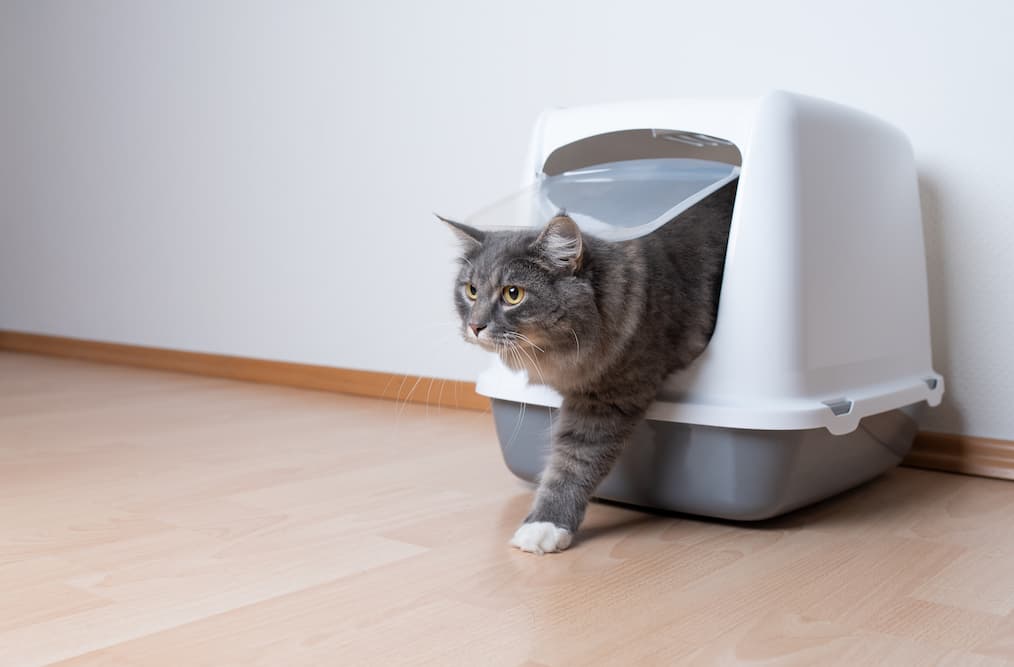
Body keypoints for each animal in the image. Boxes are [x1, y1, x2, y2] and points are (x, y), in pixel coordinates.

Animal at [444, 176, 738, 551]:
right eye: (471, 290)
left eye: (513, 294)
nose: (475, 326)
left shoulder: (607, 398)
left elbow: (572, 464)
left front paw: (544, 526)